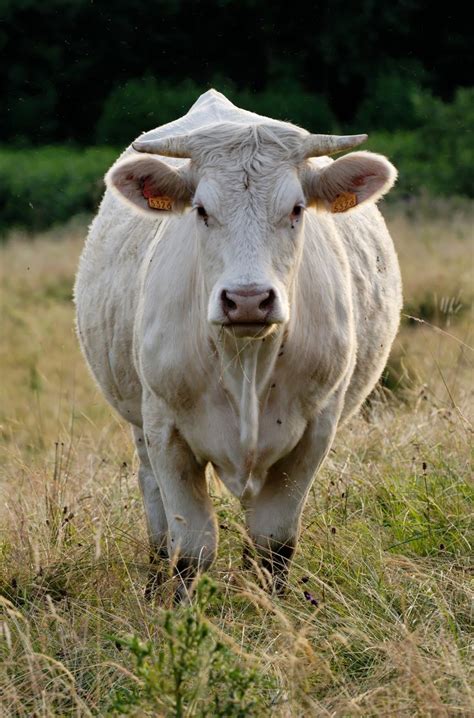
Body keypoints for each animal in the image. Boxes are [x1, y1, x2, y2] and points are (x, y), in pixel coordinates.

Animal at [74, 87, 400, 600]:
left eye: (297, 209)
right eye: (202, 210)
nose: (248, 299)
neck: (245, 363)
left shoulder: (314, 433)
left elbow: (273, 542)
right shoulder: (166, 431)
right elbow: (192, 547)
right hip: (139, 423)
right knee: (155, 510)